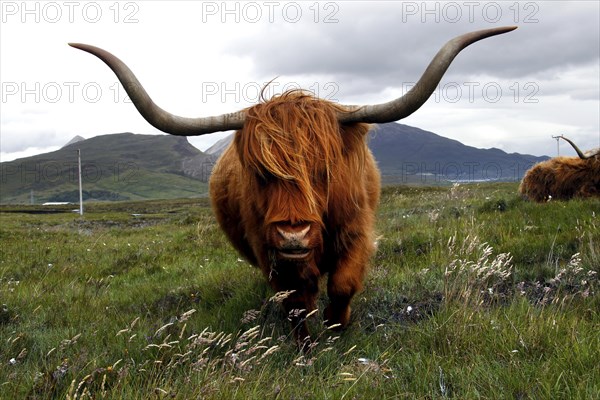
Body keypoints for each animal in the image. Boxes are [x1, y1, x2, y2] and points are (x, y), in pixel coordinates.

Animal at [70, 25, 516, 350]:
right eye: (259, 172)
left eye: (324, 169)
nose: (293, 232)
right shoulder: (270, 251)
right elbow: (296, 301)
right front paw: (305, 347)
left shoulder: (356, 232)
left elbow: (342, 285)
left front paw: (338, 330)